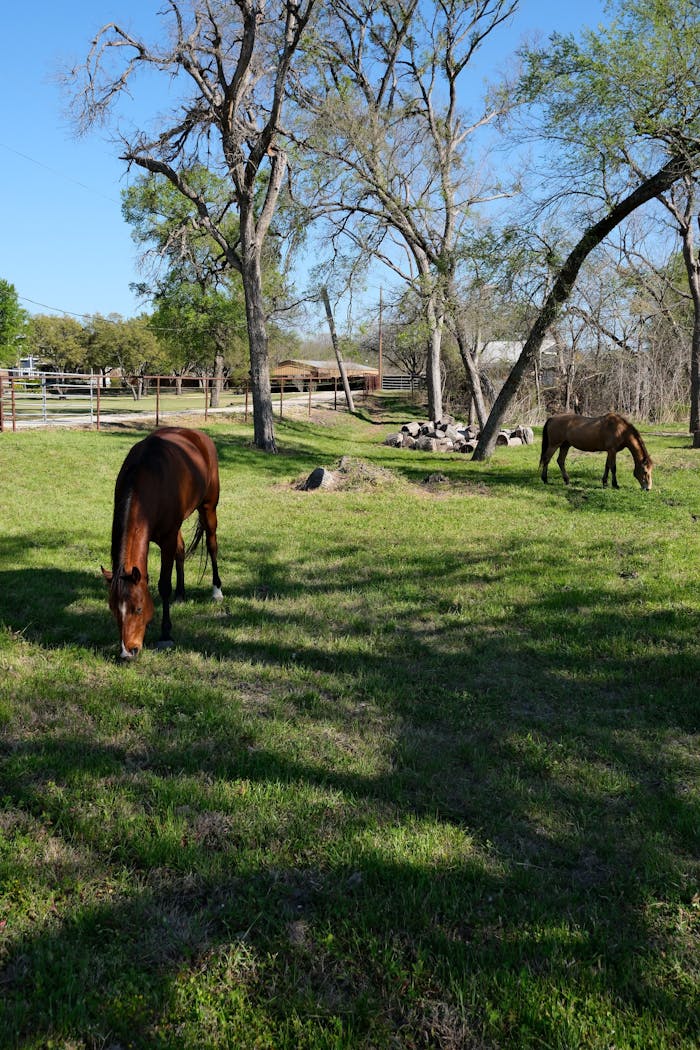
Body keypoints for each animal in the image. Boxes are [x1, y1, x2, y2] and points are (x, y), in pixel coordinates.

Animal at [102, 427, 223, 659]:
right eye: (113, 608)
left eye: (138, 608)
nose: (128, 652)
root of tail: (200, 436)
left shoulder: (167, 538)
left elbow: (164, 585)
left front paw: (166, 634)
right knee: (181, 551)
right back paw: (181, 594)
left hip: (208, 507)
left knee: (212, 545)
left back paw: (217, 591)